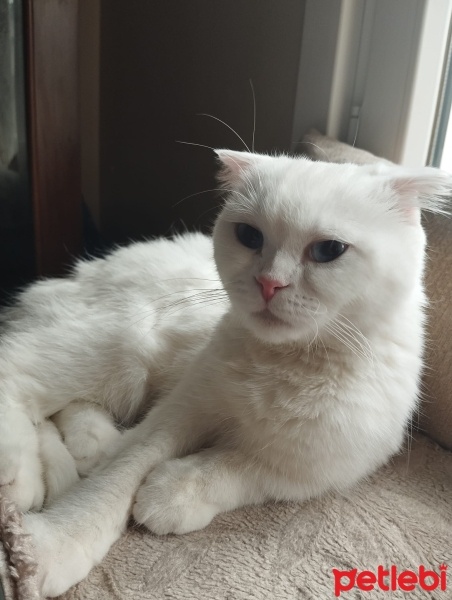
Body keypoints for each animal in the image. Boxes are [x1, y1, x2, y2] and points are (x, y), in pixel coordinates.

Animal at [1, 150, 450, 596]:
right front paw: (55, 546)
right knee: (17, 369)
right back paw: (19, 478)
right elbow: (119, 476)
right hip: (125, 349)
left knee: (69, 408)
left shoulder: (316, 470)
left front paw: (174, 493)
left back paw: (92, 444)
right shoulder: (177, 414)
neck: (286, 364)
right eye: (250, 236)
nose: (269, 283)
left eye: (328, 250)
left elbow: (238, 467)